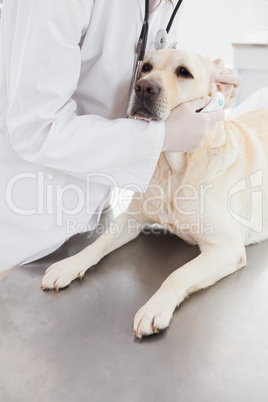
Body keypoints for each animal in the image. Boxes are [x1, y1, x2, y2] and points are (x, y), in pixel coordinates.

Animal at [41, 49, 268, 340]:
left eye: (184, 72)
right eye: (146, 67)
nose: (144, 87)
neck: (174, 168)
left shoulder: (227, 247)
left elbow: (179, 274)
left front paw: (155, 307)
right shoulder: (130, 219)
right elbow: (98, 244)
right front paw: (68, 265)